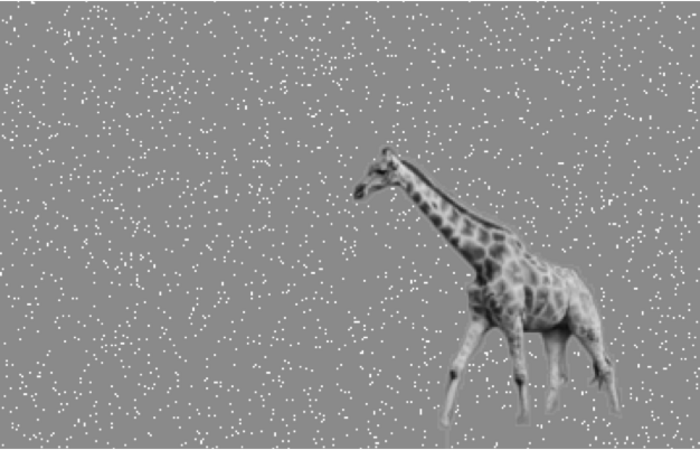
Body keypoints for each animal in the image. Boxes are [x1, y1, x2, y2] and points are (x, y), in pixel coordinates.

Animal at [353, 145, 622, 429]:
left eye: (382, 170)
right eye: (369, 166)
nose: (357, 191)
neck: (481, 260)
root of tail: (584, 286)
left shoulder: (512, 319)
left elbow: (520, 374)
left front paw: (523, 421)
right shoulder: (480, 318)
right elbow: (455, 367)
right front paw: (444, 422)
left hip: (585, 323)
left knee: (605, 366)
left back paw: (616, 414)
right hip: (555, 330)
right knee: (557, 374)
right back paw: (551, 416)